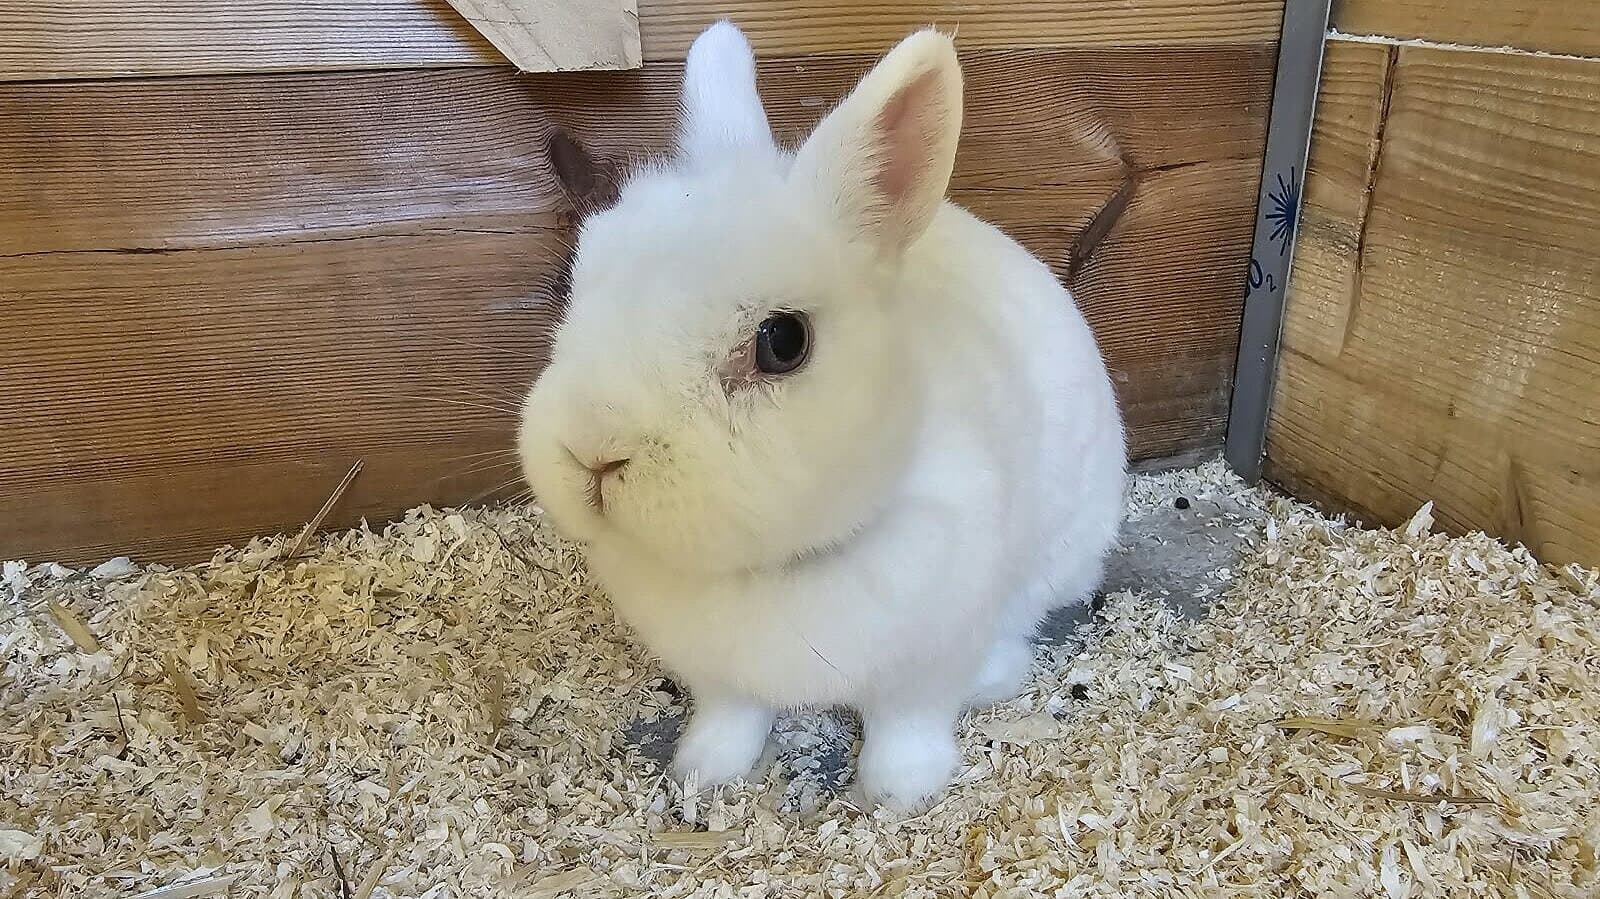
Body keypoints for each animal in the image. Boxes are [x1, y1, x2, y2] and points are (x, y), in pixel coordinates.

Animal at [516, 20, 1126, 810]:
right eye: (572, 286)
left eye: (783, 342)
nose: (592, 452)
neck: (778, 567)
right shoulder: (717, 675)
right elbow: (731, 716)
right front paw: (702, 769)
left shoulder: (927, 662)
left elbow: (906, 726)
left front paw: (898, 793)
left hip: (1066, 550)